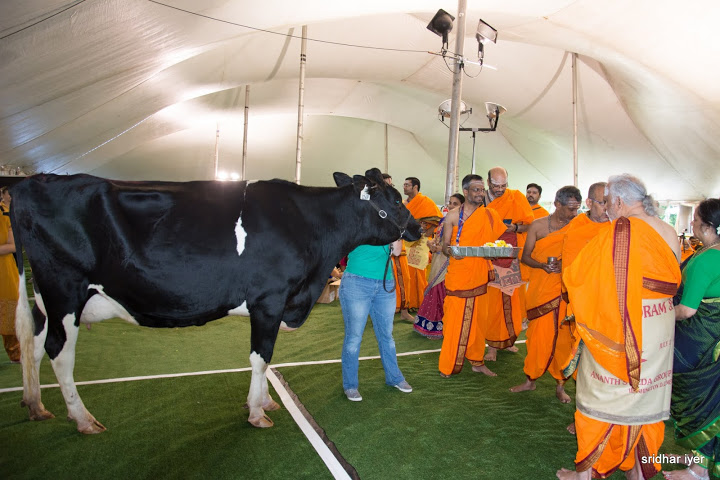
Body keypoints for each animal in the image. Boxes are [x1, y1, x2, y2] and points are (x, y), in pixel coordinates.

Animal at [10, 168, 421, 433]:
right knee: (59, 353)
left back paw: (36, 406)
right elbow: (261, 357)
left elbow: (266, 358)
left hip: (46, 300)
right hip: (65, 290)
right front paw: (257, 412)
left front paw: (266, 400)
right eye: (395, 200)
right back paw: (83, 420)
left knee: (33, 344)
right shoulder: (269, 299)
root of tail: (31, 182)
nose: (417, 228)